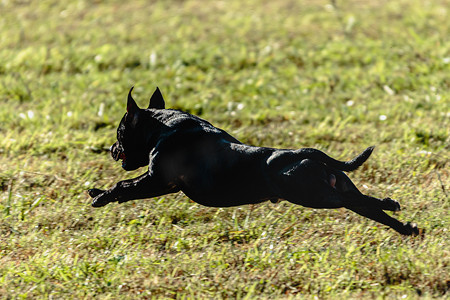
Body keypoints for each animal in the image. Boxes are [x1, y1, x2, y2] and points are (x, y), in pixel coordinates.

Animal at [88, 86, 418, 234]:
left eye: (120, 131)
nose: (112, 148)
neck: (164, 125)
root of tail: (304, 153)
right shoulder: (160, 183)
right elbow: (125, 185)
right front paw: (96, 191)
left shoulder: (158, 180)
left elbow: (123, 185)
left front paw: (100, 197)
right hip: (334, 190)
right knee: (367, 206)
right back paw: (406, 226)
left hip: (314, 195)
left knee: (364, 202)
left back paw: (391, 204)